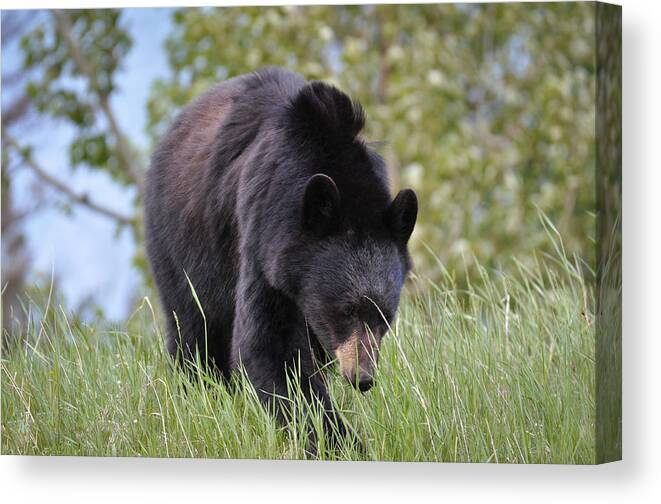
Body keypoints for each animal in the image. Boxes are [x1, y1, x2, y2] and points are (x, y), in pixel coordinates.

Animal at [144, 66, 416, 444]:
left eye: (385, 317)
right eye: (345, 310)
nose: (362, 377)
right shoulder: (262, 236)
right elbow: (269, 345)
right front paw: (336, 440)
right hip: (180, 243)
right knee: (194, 328)